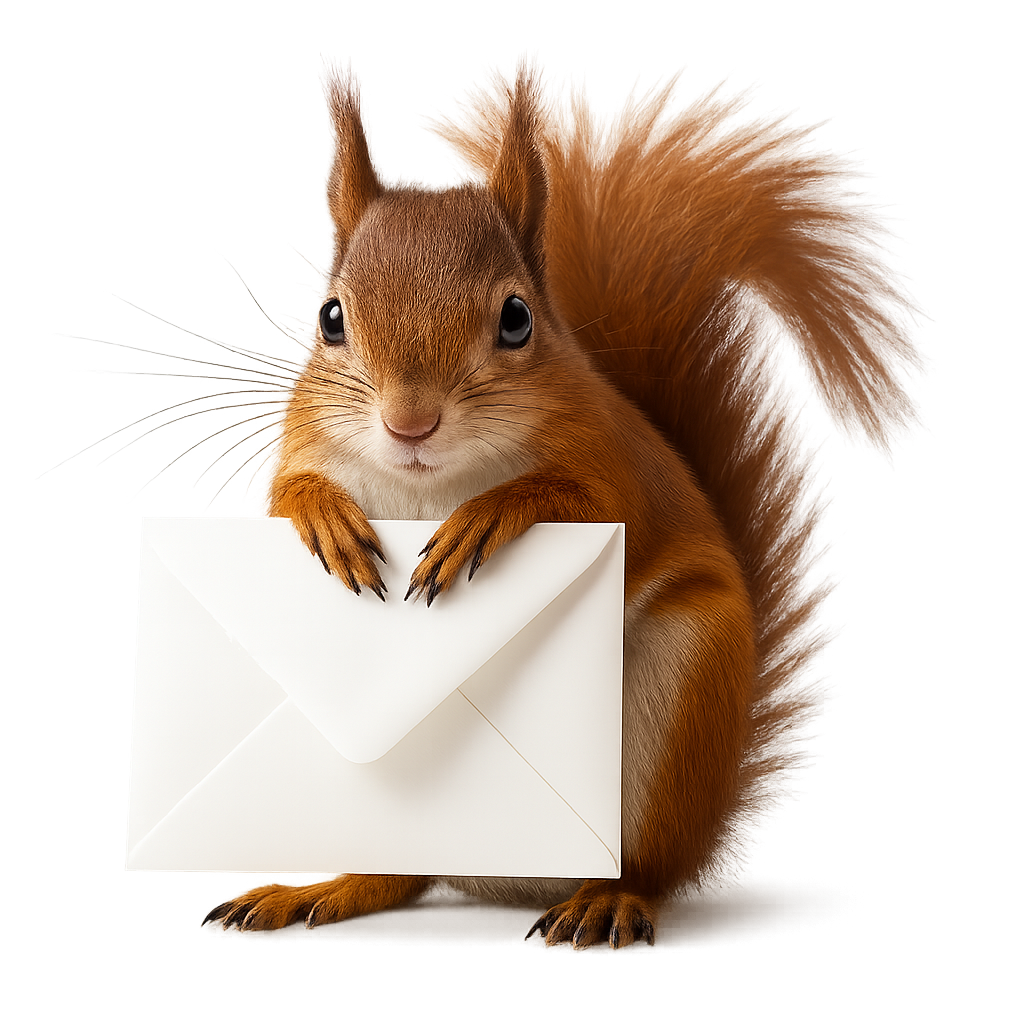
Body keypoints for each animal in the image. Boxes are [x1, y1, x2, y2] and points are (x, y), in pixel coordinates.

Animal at [203, 77, 899, 949]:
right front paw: (321, 514)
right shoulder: (305, 442)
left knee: (646, 866)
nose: (408, 422)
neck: (434, 480)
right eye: (331, 318)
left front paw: (490, 514)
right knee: (398, 874)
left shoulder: (615, 461)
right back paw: (321, 890)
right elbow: (281, 496)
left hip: (681, 696)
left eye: (517, 318)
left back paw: (608, 903)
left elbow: (588, 504)